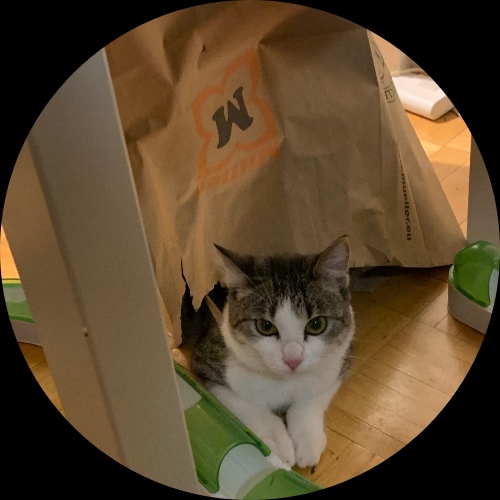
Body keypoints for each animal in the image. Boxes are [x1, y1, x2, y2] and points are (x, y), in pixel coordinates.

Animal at [189, 236, 354, 469]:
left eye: (317, 324)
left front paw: (307, 439)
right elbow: (248, 404)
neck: (284, 381)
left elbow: (312, 396)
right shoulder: (209, 366)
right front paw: (278, 445)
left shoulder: (340, 361)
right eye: (265, 326)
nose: (293, 359)